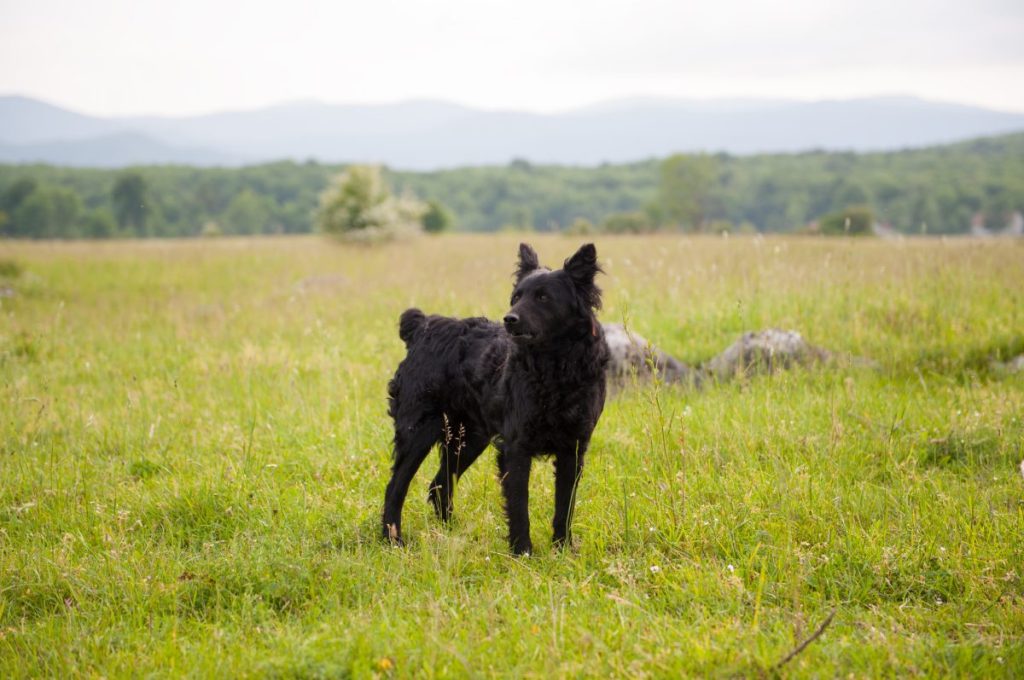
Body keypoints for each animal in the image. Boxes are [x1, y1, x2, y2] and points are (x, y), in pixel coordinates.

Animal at [382, 242, 606, 553]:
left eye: (544, 297)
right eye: (516, 297)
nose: (509, 319)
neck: (555, 367)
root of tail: (424, 327)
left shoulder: (573, 449)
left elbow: (565, 506)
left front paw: (562, 549)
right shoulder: (515, 447)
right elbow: (519, 506)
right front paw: (523, 551)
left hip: (469, 438)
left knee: (439, 485)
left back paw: (450, 533)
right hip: (419, 431)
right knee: (395, 487)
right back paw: (393, 540)